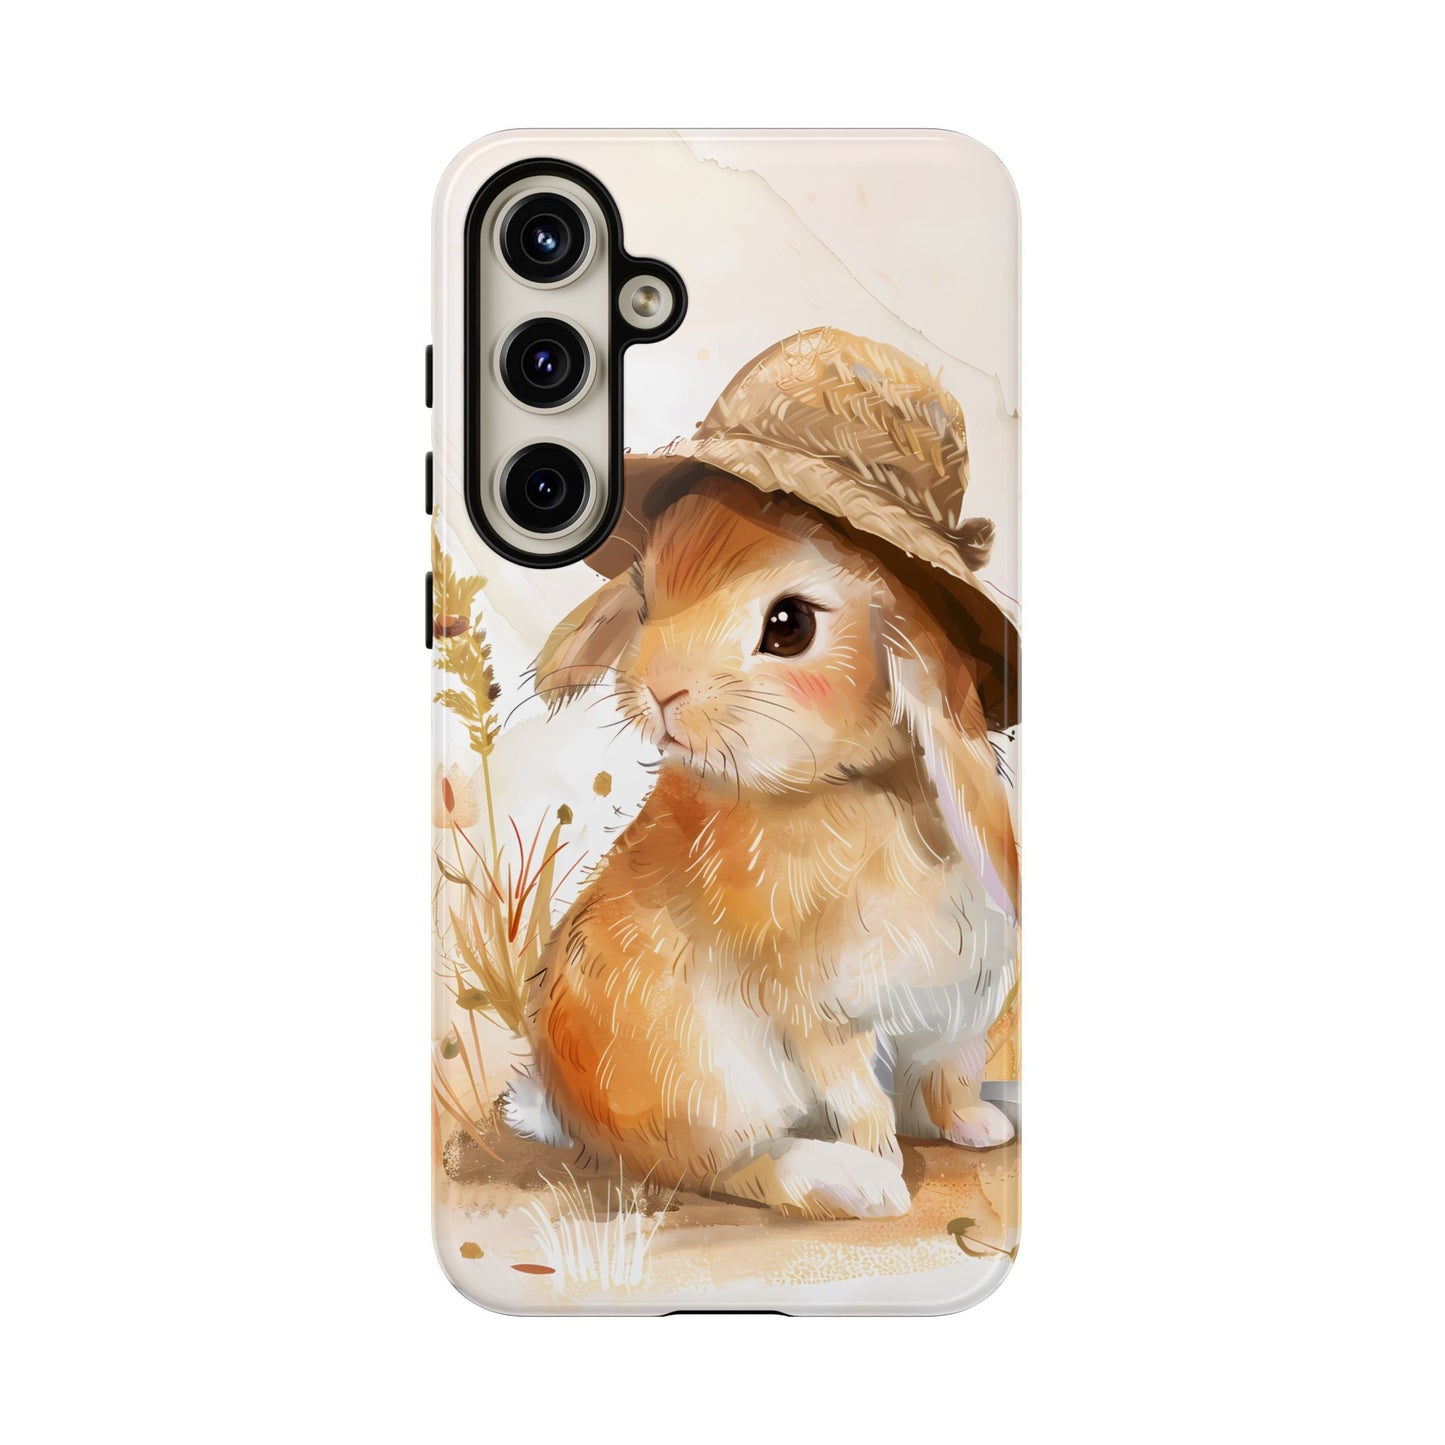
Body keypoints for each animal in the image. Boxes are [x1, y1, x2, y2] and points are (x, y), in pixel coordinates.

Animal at [502, 473, 1019, 1220]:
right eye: (645, 602)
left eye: (789, 626)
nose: (659, 688)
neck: (853, 786)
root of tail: (566, 1109)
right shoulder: (817, 1009)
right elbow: (860, 1098)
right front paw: (885, 1162)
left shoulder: (953, 1011)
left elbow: (948, 1079)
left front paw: (978, 1126)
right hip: (704, 1078)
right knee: (730, 1166)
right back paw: (856, 1184)